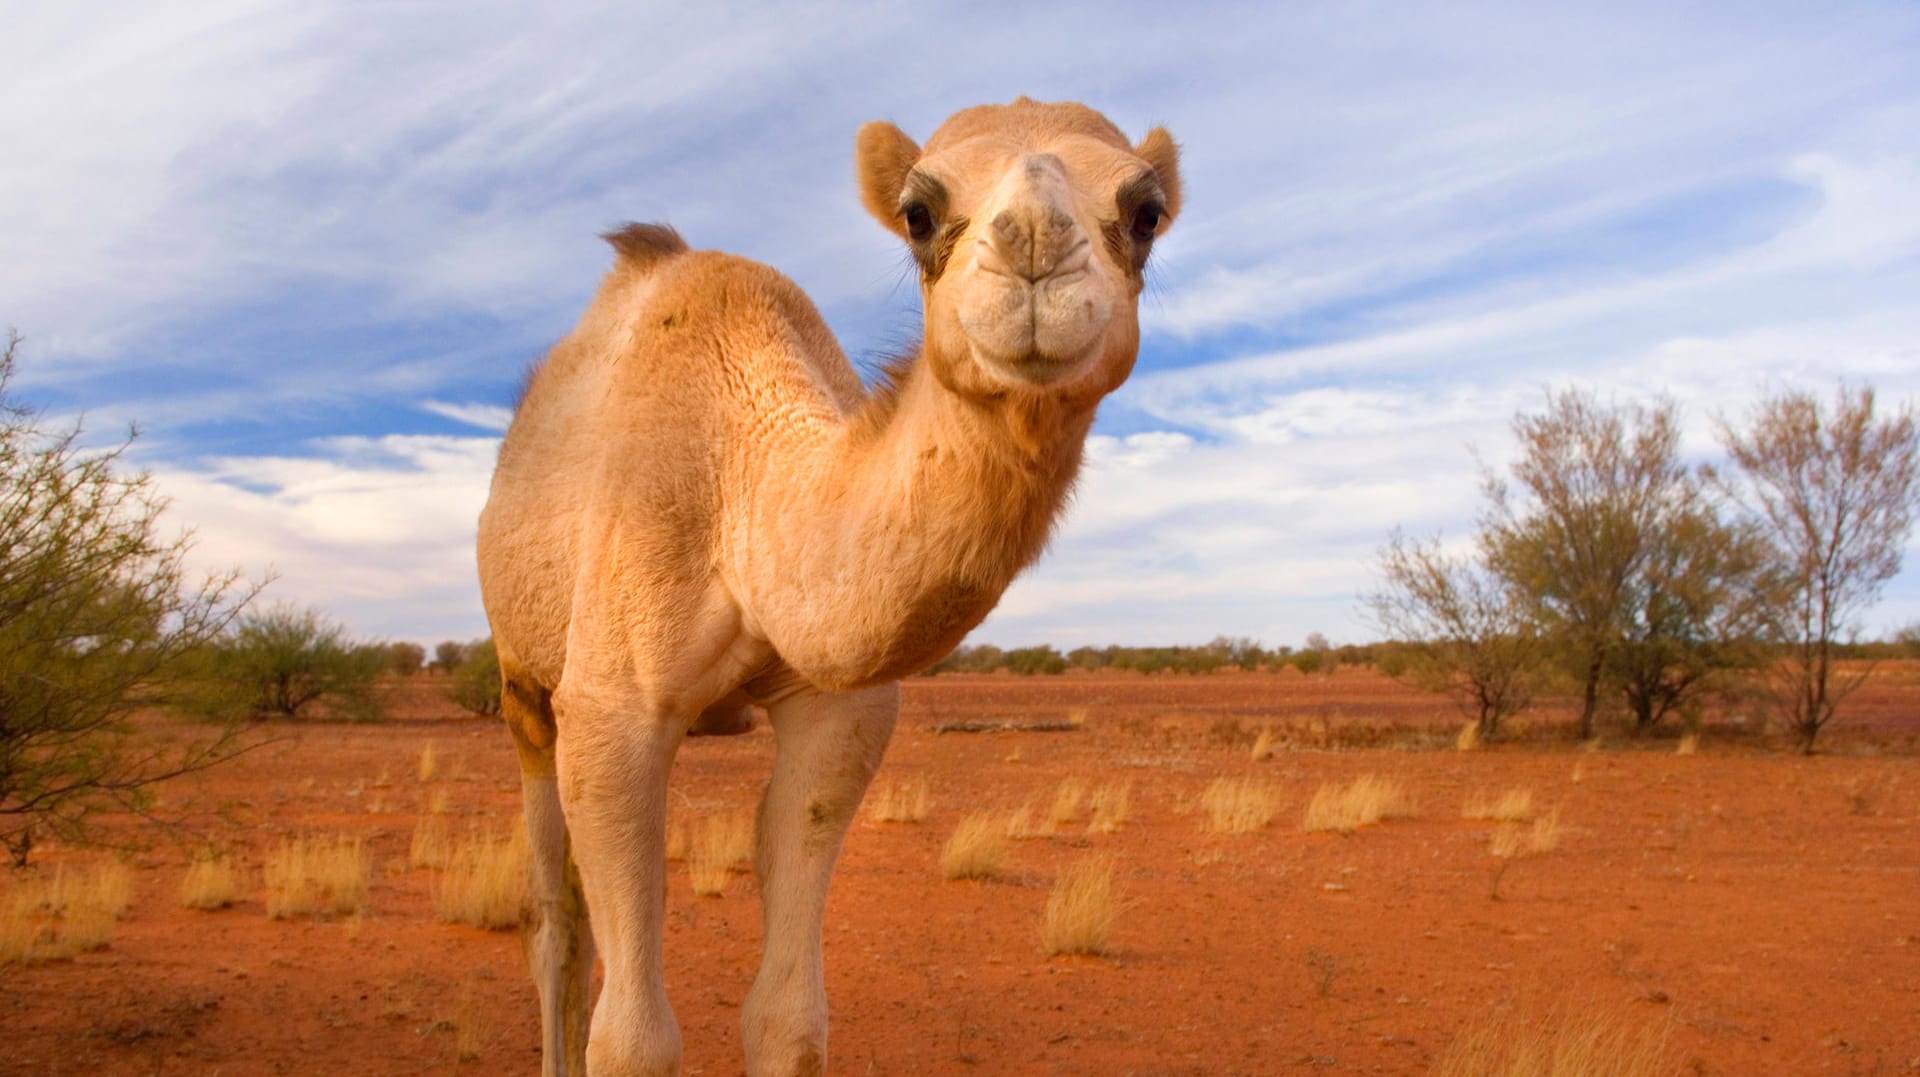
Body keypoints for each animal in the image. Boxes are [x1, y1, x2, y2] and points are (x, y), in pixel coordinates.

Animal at [472, 96, 1175, 1067]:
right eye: (918, 211)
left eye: (1147, 212)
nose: (1034, 242)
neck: (743, 492)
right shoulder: (610, 710)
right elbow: (635, 1038)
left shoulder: (840, 714)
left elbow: (789, 1015)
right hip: (523, 688)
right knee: (557, 922)